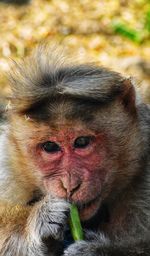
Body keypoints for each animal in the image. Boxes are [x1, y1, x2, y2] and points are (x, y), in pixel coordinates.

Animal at [0, 45, 149, 255]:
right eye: (50, 146)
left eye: (82, 142)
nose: (69, 186)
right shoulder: (8, 167)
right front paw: (36, 221)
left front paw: (96, 250)